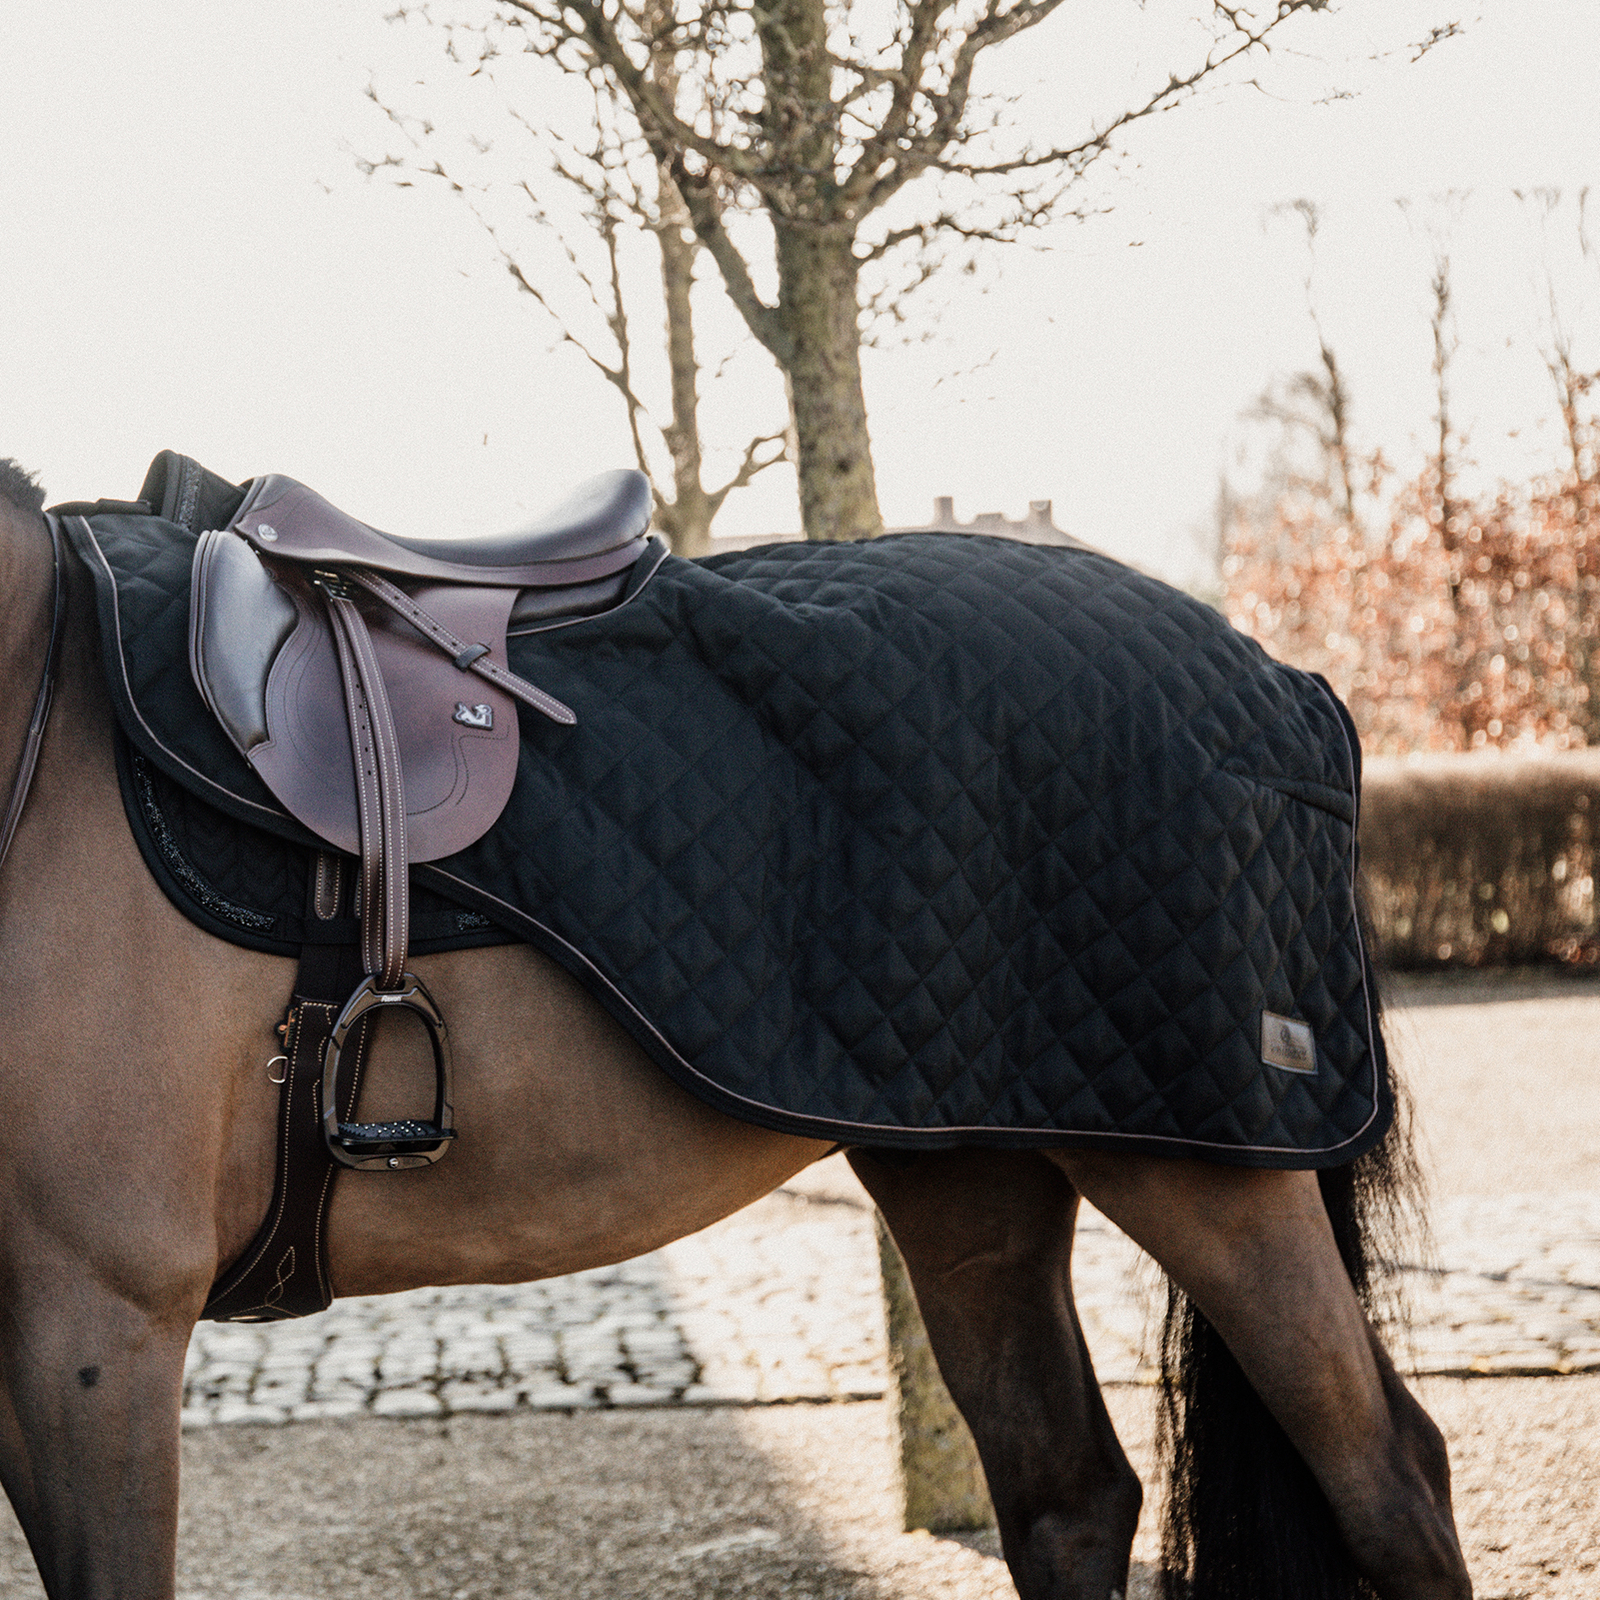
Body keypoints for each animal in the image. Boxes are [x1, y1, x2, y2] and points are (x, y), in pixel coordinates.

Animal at [0, 464, 1472, 1600]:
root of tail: (1283, 680)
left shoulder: (97, 1322)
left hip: (1210, 1173)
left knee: (1392, 1481)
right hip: (971, 1171)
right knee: (1069, 1494)